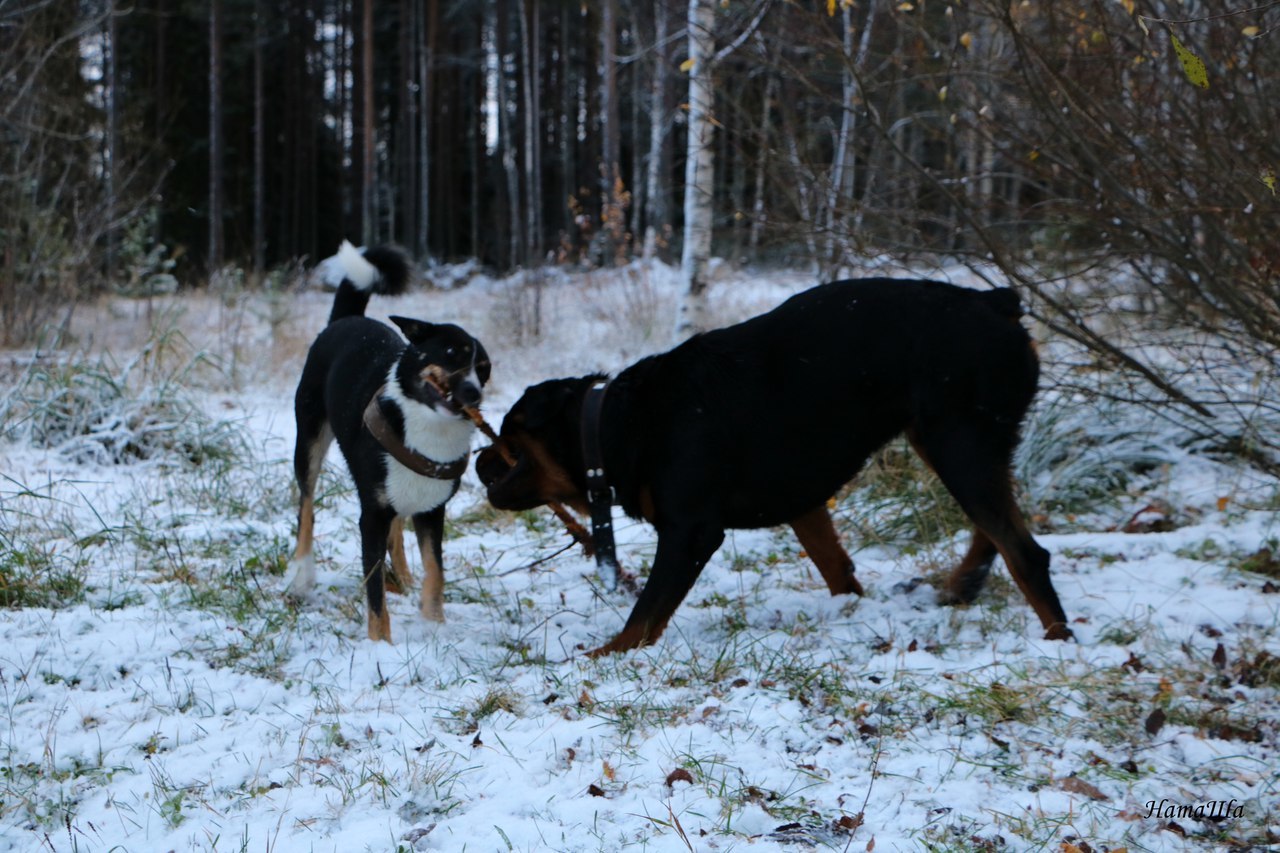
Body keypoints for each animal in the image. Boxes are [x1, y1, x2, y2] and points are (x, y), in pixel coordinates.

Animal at [285, 239, 488, 637]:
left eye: (484, 368)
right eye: (451, 353)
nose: (473, 393)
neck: (427, 426)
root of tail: (345, 320)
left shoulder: (432, 510)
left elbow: (436, 572)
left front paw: (434, 625)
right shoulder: (371, 517)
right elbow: (375, 589)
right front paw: (380, 642)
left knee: (397, 527)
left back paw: (406, 579)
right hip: (309, 439)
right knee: (306, 507)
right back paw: (302, 576)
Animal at [478, 277, 1070, 650]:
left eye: (506, 436)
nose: (479, 460)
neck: (615, 425)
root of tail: (997, 301)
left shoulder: (690, 530)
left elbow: (644, 615)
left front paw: (605, 655)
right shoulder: (803, 501)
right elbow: (837, 569)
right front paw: (851, 613)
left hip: (957, 438)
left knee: (1024, 550)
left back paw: (1057, 637)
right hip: (955, 439)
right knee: (997, 525)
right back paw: (963, 584)